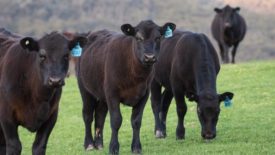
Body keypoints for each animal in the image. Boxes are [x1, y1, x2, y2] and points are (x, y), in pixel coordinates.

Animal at [75, 20, 175, 154]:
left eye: (158, 38)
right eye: (138, 38)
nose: (149, 57)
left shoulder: (144, 94)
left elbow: (136, 121)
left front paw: (136, 147)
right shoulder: (112, 94)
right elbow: (116, 120)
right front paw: (113, 148)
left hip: (102, 95)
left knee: (100, 115)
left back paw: (99, 144)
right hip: (85, 89)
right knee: (87, 115)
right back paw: (89, 144)